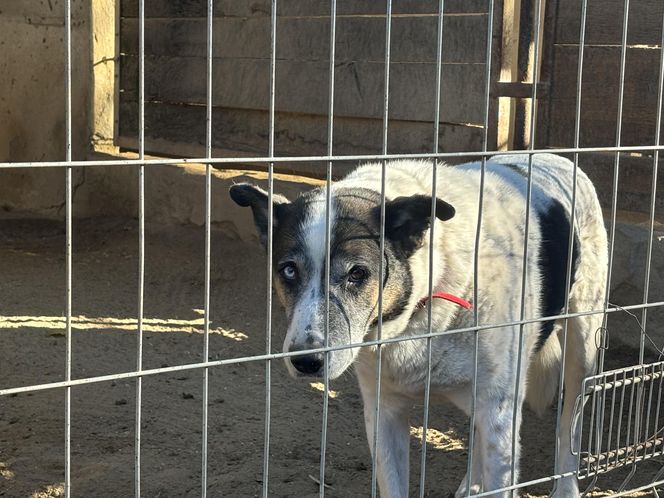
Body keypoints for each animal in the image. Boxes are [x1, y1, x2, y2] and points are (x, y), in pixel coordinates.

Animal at [231, 154, 608, 496]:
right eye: (288, 270)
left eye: (358, 273)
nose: (306, 362)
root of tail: (557, 159)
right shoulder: (384, 412)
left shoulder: (498, 413)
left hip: (582, 349)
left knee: (569, 427)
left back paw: (565, 487)